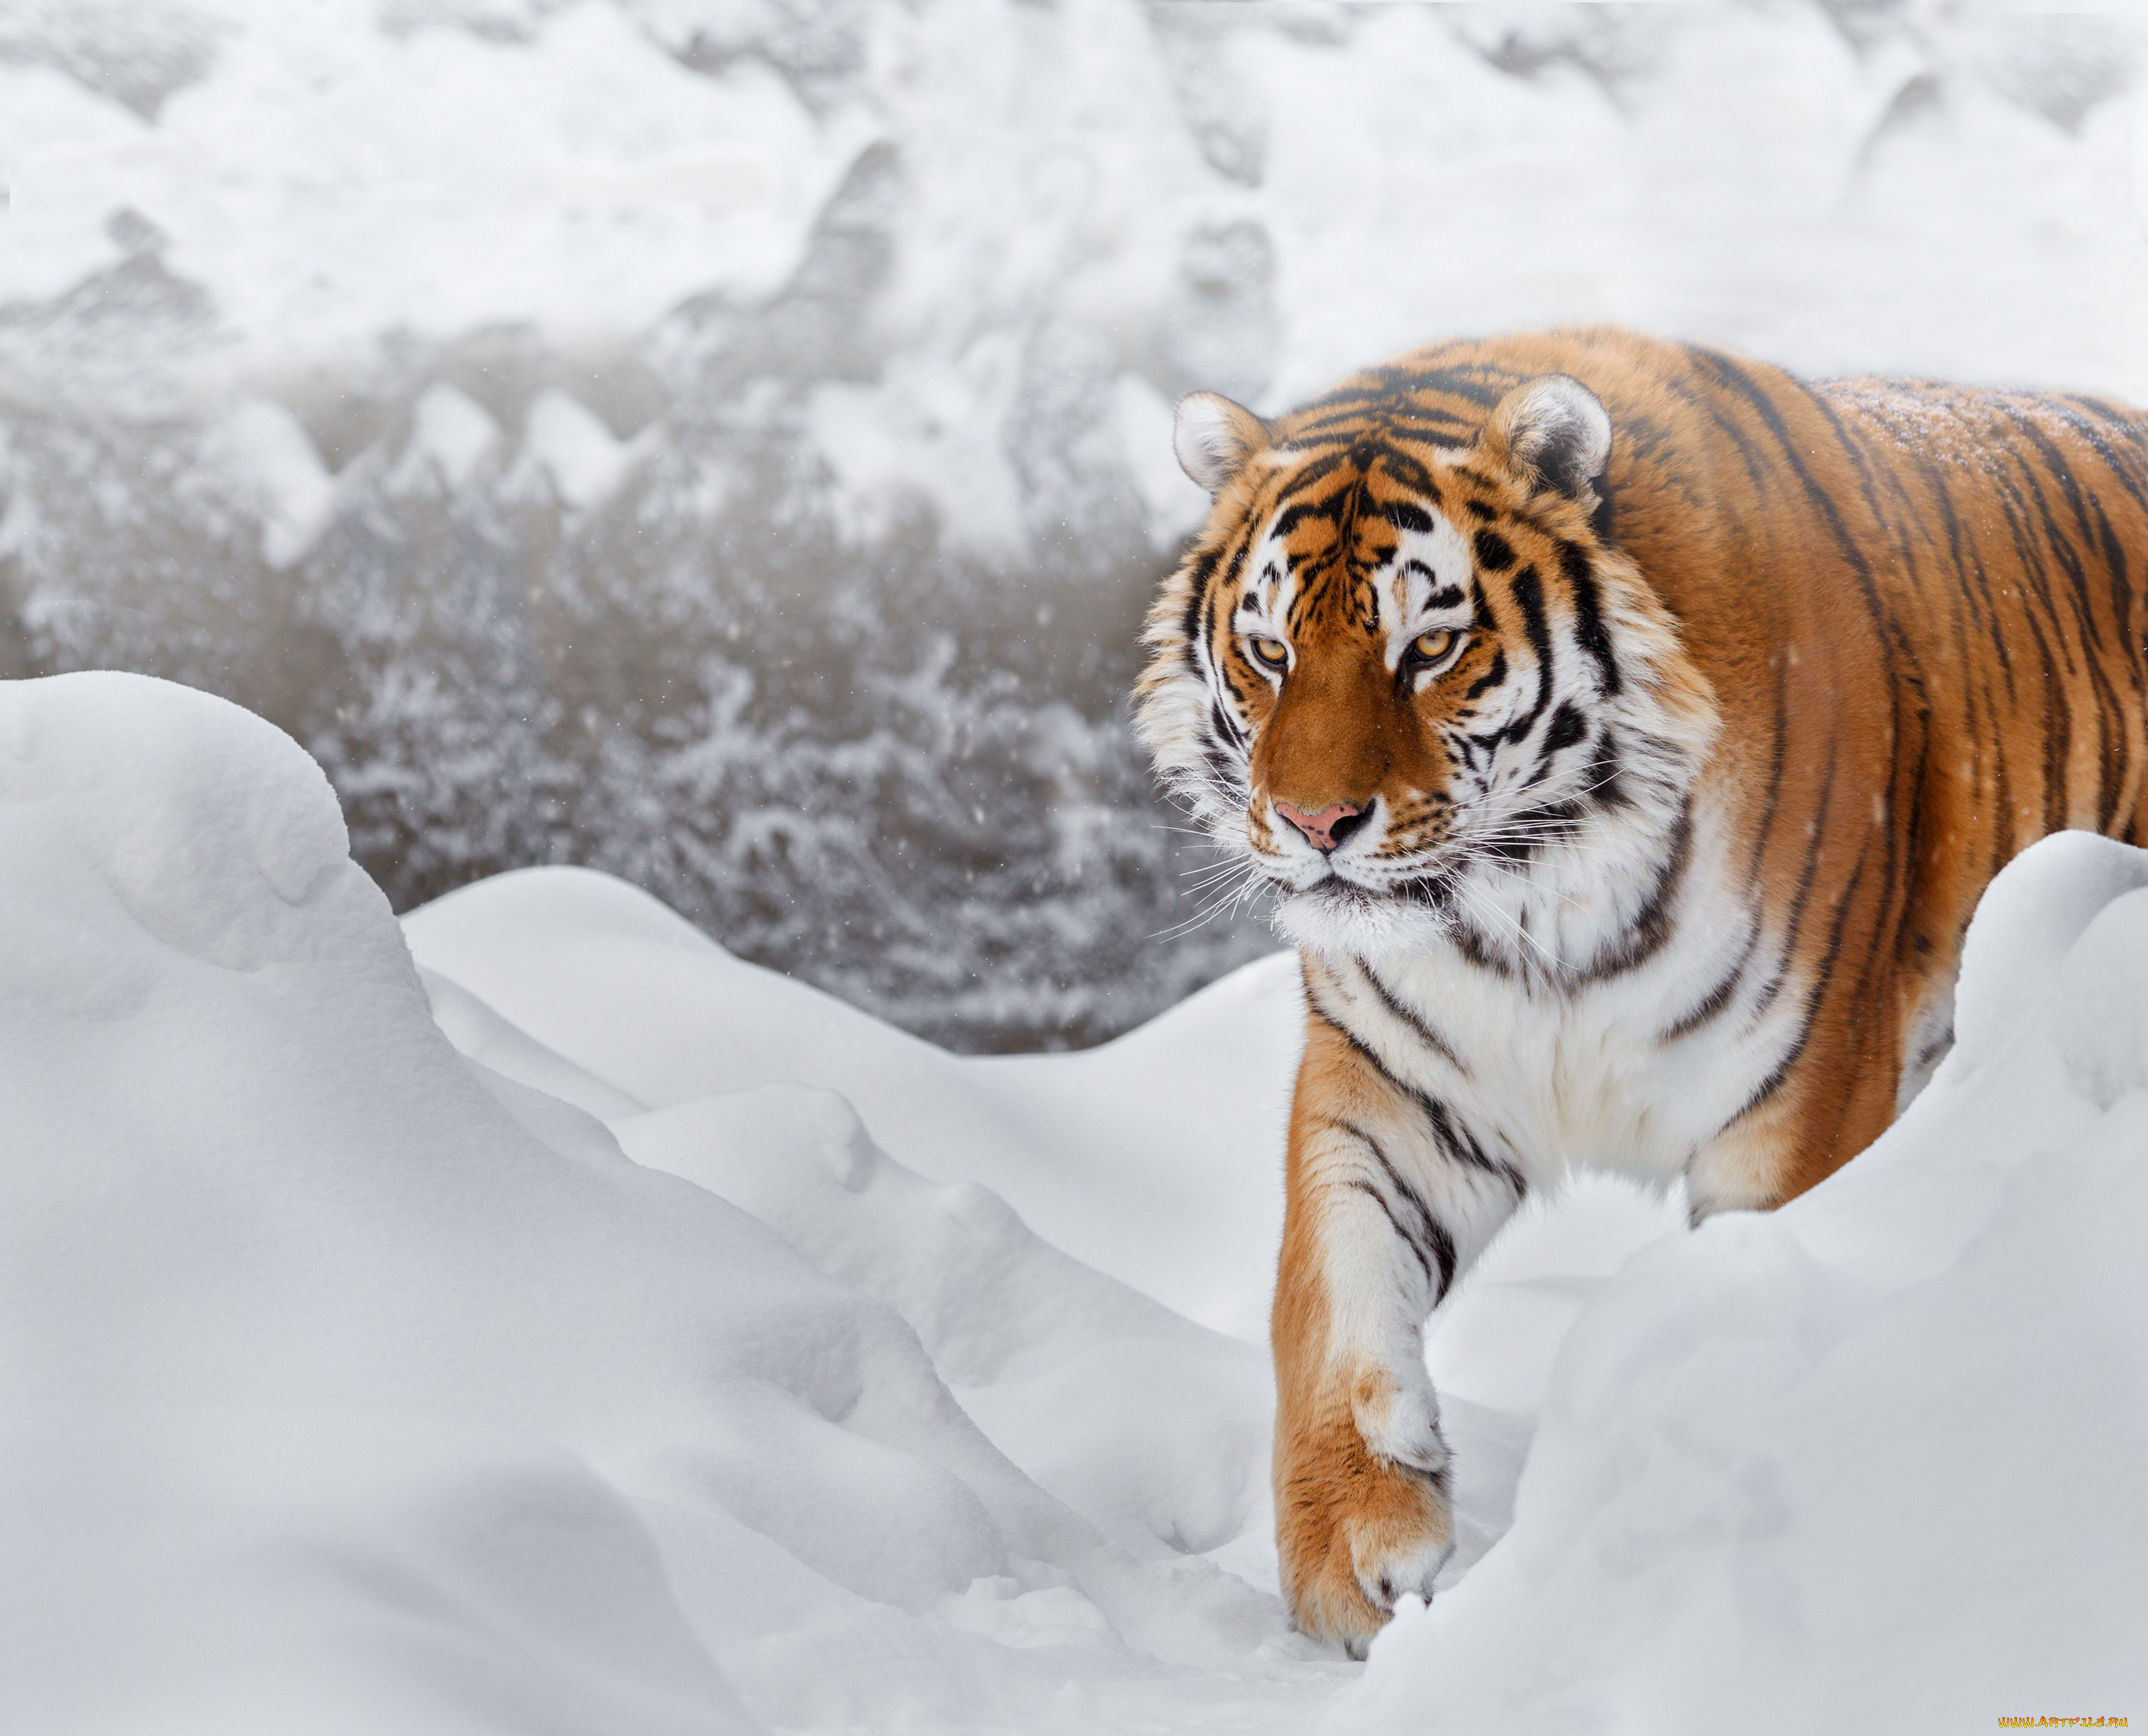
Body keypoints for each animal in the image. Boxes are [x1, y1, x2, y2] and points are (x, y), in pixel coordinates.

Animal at [1134, 329, 2139, 1658]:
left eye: (1427, 649)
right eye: (1269, 652)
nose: (1312, 824)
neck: (1525, 904)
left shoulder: (1800, 1092)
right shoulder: (1391, 1080)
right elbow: (1328, 1292)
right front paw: (1353, 1553)